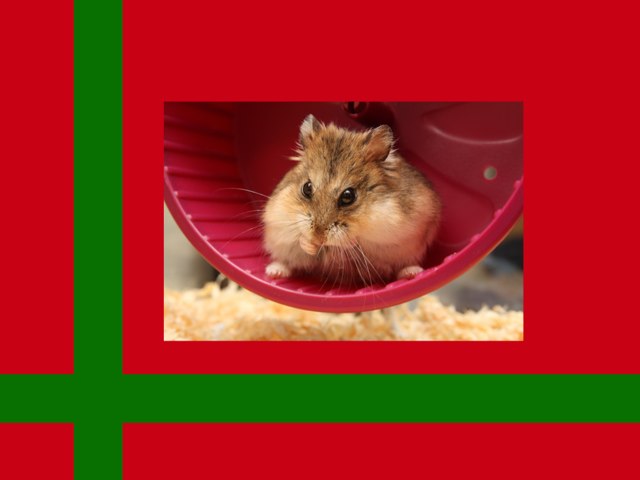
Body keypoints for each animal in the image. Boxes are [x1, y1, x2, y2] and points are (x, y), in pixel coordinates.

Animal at [262, 114, 441, 286]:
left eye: (348, 196)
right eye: (307, 188)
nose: (318, 239)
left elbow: (354, 241)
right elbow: (299, 238)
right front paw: (310, 244)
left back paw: (412, 273)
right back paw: (273, 271)